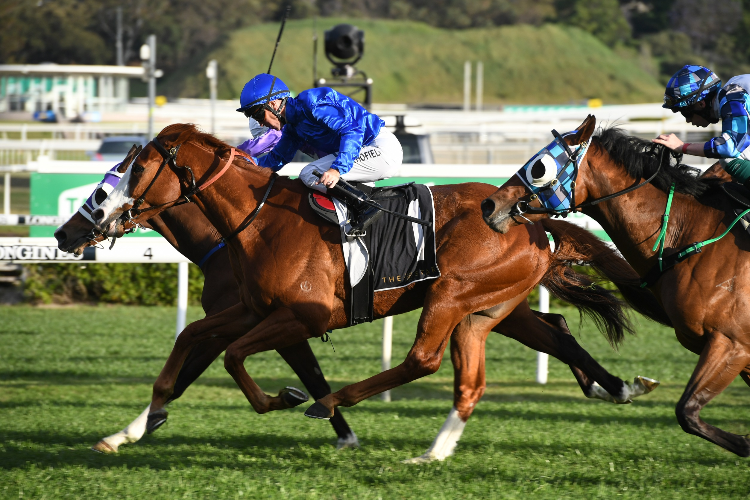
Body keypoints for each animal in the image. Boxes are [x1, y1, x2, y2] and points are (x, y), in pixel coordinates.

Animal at [89, 125, 664, 460]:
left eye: (137, 167)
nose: (101, 216)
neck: (260, 221)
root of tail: (531, 219)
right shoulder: (251, 309)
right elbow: (191, 340)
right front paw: (132, 428)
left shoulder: (306, 315)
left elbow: (233, 357)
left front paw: (286, 397)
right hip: (491, 304)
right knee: (546, 335)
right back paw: (615, 387)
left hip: (451, 293)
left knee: (425, 360)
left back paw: (332, 403)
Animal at [482, 116, 750, 458]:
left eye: (539, 167)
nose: (488, 205)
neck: (690, 234)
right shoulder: (732, 349)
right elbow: (687, 412)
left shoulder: (731, 342)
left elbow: (686, 411)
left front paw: (744, 442)